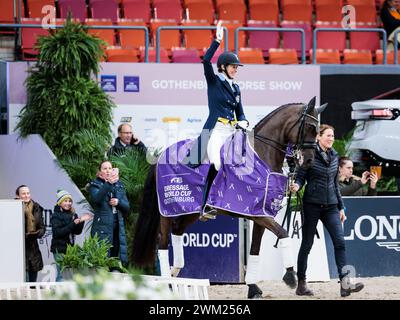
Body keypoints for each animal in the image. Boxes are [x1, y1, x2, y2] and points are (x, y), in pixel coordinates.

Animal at [133, 96, 326, 298]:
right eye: (311, 127)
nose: (309, 160)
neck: (260, 156)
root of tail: (161, 154)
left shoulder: (260, 215)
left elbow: (255, 250)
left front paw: (253, 288)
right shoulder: (257, 214)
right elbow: (283, 233)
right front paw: (290, 276)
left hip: (190, 210)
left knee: (177, 231)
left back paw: (175, 276)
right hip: (167, 210)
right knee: (162, 243)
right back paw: (167, 283)